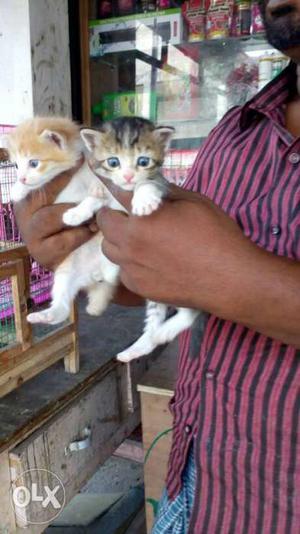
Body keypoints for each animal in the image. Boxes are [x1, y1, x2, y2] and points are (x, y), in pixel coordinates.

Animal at [79, 117, 198, 364]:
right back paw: (140, 345)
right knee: (155, 319)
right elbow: (98, 198)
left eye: (143, 161)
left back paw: (164, 331)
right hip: (154, 291)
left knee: (191, 313)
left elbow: (149, 183)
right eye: (113, 161)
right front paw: (76, 212)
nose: (127, 177)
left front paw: (143, 200)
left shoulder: (163, 186)